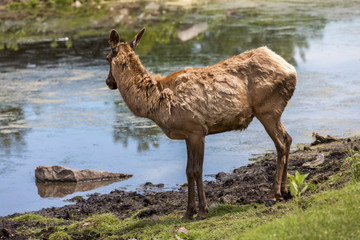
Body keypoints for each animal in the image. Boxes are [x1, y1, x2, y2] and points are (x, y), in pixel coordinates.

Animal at [105, 27, 296, 219]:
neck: (156, 105)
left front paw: (202, 210)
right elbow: (188, 171)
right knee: (288, 139)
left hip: (267, 109)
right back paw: (285, 191)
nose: (108, 82)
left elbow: (196, 170)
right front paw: (189, 211)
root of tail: (291, 70)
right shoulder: (187, 135)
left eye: (106, 57)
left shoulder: (197, 129)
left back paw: (273, 194)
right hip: (273, 111)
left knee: (280, 143)